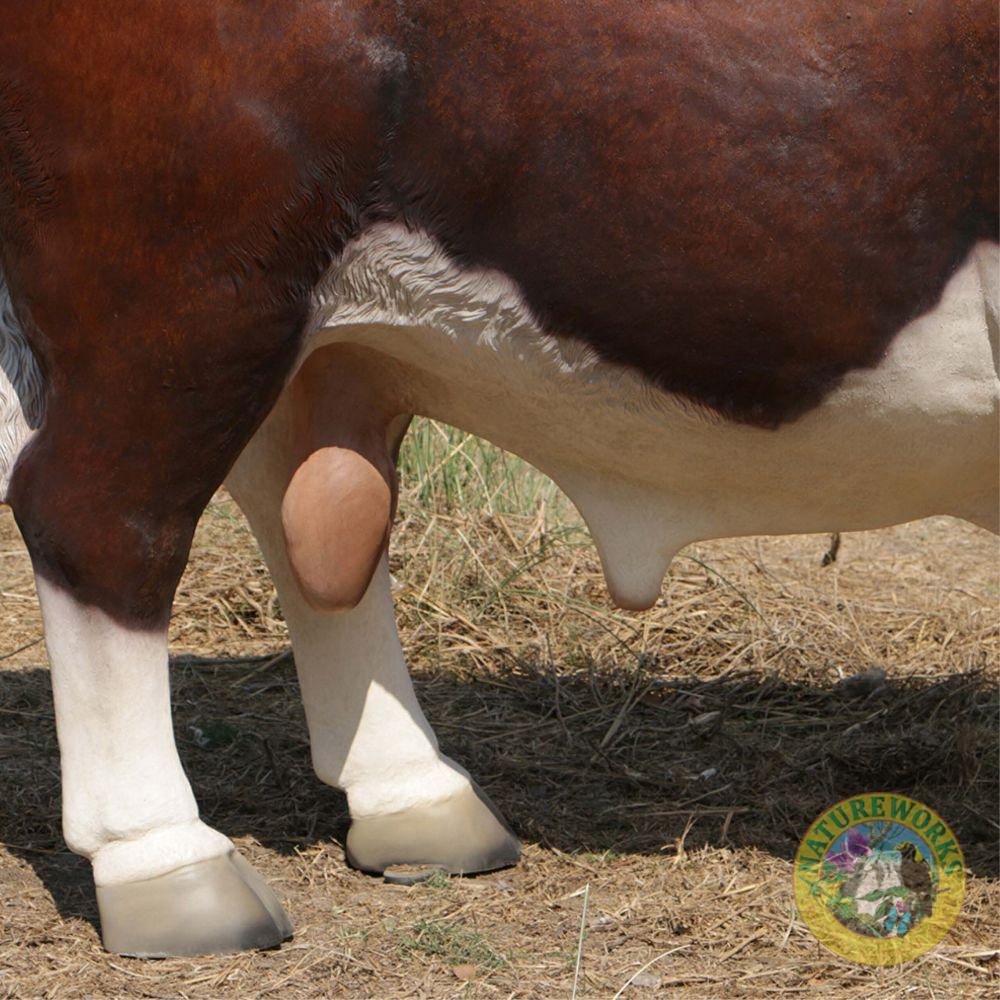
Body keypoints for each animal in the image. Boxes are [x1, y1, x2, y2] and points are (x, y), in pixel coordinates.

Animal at [0, 0, 996, 959]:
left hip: (285, 319)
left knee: (300, 506)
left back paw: (416, 800)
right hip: (179, 273)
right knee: (101, 520)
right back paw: (168, 867)